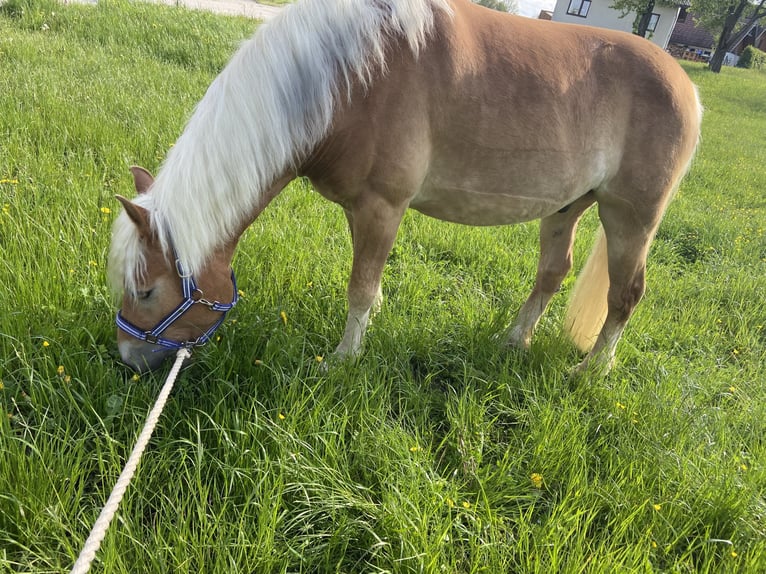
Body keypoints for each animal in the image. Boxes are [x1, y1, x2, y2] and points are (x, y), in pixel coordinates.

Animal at [108, 0, 702, 373]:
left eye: (147, 290)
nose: (127, 360)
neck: (348, 78)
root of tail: (685, 84)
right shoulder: (358, 209)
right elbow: (367, 283)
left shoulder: (382, 207)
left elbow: (360, 286)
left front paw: (344, 360)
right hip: (566, 206)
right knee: (553, 274)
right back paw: (514, 342)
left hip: (631, 217)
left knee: (626, 294)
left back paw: (591, 371)